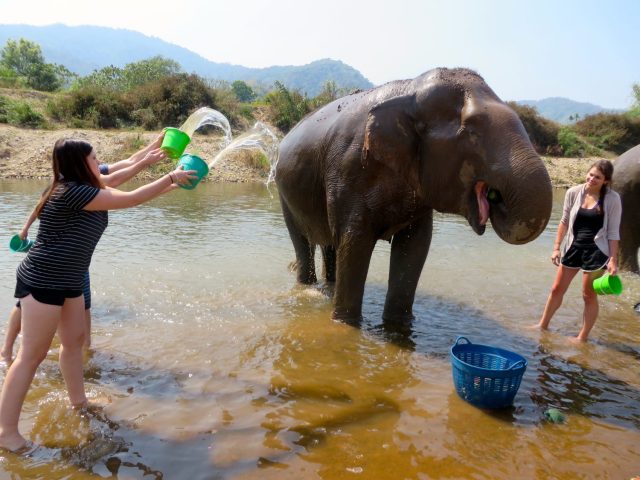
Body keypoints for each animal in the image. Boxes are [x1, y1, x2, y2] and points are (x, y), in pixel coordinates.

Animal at [275, 67, 553, 323]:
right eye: (472, 131)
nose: (497, 199)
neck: (409, 90)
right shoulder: (348, 171)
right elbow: (354, 242)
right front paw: (345, 325)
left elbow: (414, 247)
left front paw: (397, 327)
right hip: (283, 193)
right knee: (303, 242)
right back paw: (307, 286)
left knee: (330, 244)